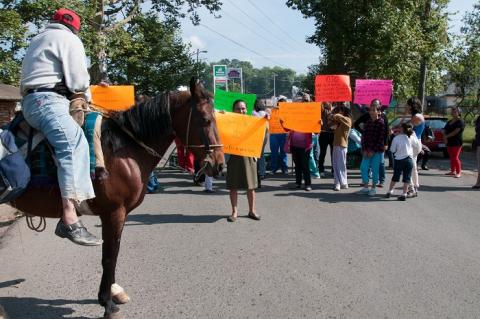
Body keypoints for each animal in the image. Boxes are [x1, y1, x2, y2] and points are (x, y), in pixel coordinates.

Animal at [8, 78, 224, 319]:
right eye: (206, 120)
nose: (219, 164)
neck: (124, 151)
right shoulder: (113, 213)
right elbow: (110, 257)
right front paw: (107, 303)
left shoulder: (119, 215)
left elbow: (114, 253)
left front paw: (113, 292)